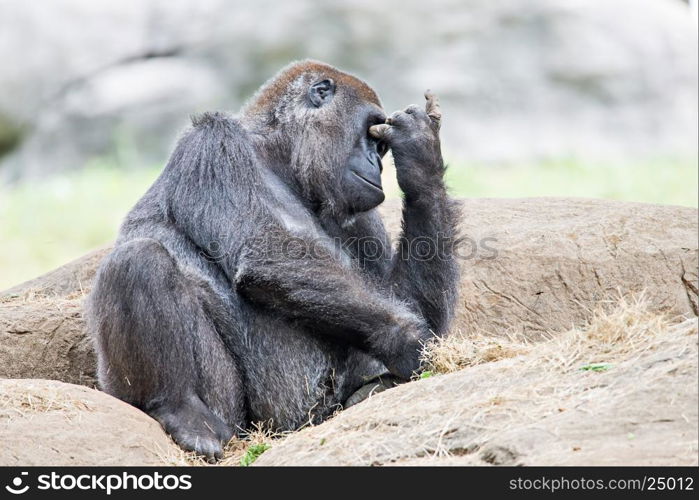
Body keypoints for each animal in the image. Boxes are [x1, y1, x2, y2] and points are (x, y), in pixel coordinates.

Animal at [86, 60, 460, 458]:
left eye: (384, 146)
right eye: (372, 137)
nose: (377, 164)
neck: (278, 156)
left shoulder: (358, 207)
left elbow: (401, 297)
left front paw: (420, 161)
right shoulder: (214, 142)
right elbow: (266, 253)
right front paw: (410, 341)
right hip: (236, 421)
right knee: (138, 260)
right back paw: (178, 408)